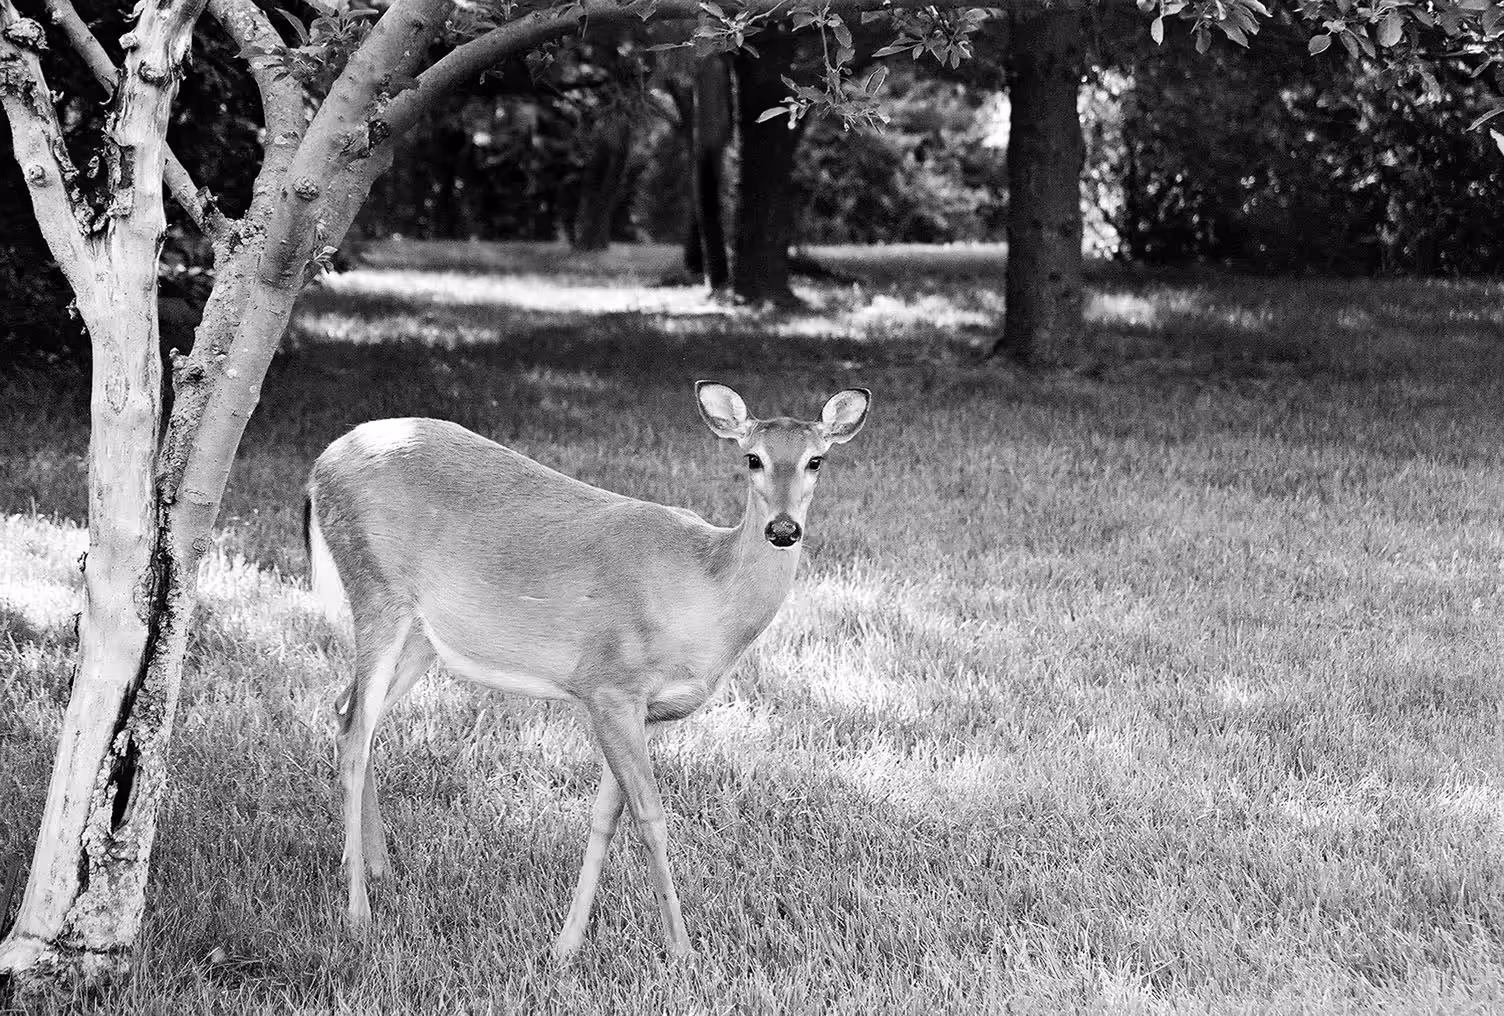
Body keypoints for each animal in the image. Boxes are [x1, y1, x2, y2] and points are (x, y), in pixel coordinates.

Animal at [304, 381, 871, 959]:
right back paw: (358, 913)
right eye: (752, 458)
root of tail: (323, 463)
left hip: (422, 636)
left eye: (817, 460)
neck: (705, 595)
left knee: (348, 712)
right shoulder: (610, 684)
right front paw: (683, 952)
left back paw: (376, 866)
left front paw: (566, 943)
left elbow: (604, 817)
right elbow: (650, 818)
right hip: (376, 589)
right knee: (354, 735)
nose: (783, 529)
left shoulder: (644, 711)